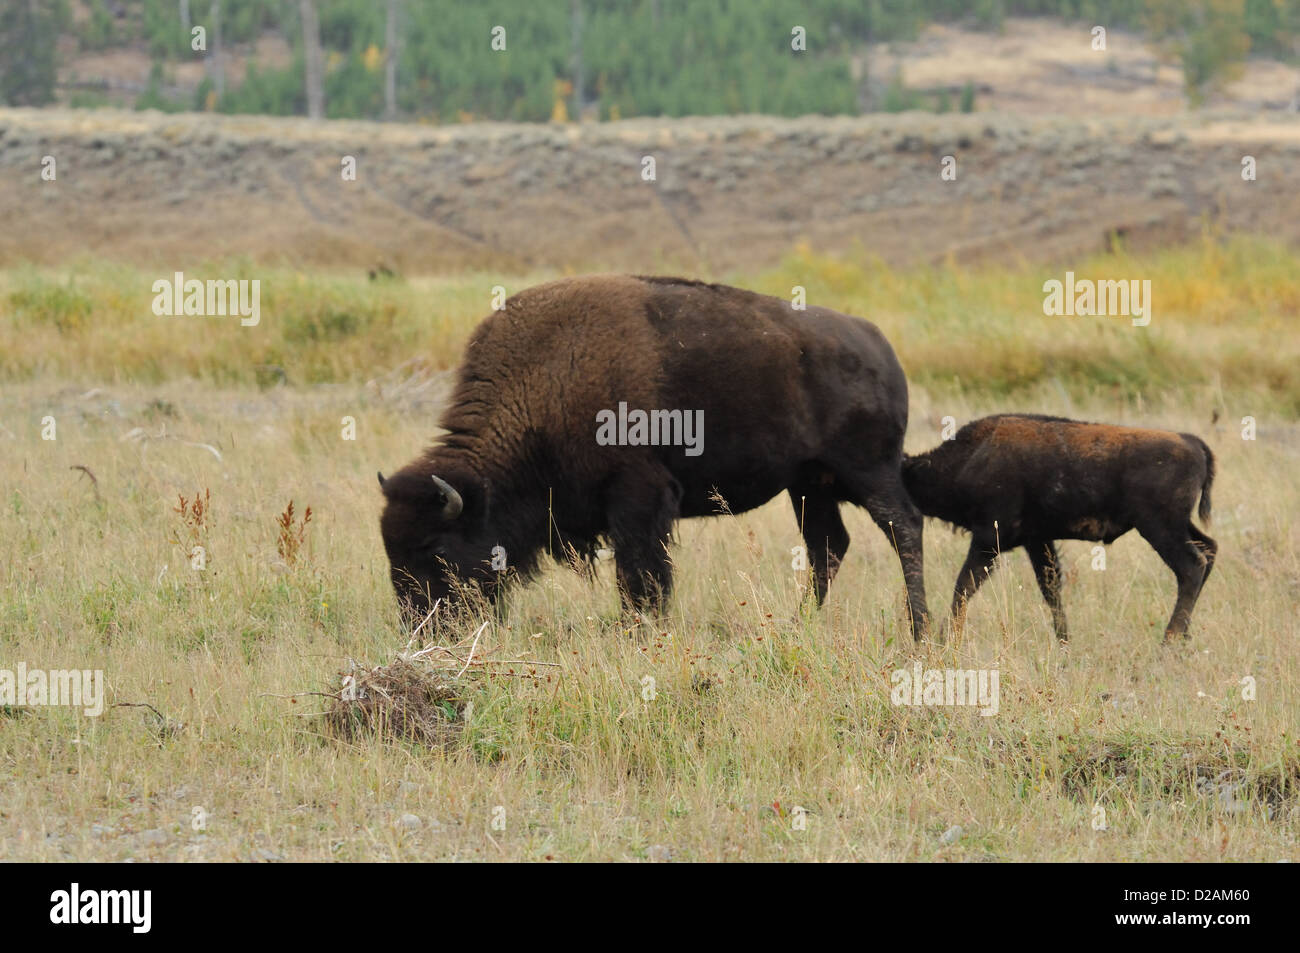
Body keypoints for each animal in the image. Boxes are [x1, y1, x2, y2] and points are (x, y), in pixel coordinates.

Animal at [378, 275, 930, 639]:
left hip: (868, 472)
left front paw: (640, 628)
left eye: (435, 547)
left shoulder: (638, 498)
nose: (421, 629)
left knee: (904, 528)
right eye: (392, 549)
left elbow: (640, 573)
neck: (545, 380)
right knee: (827, 546)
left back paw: (920, 630)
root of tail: (879, 346)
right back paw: (800, 625)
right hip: (809, 485)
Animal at [901, 414, 1216, 643]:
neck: (973, 457)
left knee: (1192, 566)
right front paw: (1064, 641)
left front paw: (946, 637)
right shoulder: (1037, 541)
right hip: (1177, 526)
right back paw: (1183, 638)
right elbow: (1050, 589)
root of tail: (1192, 443)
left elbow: (964, 586)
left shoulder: (988, 539)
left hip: (1160, 528)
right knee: (1209, 550)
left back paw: (1169, 642)